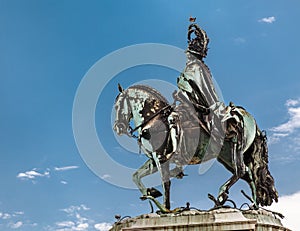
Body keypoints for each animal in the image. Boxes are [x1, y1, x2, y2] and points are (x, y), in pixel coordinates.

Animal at [113, 84, 278, 212]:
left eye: (117, 106)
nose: (117, 127)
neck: (155, 119)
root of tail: (250, 119)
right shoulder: (155, 159)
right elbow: (135, 176)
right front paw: (151, 193)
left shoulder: (160, 157)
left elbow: (165, 183)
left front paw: (165, 209)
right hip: (226, 157)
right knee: (249, 174)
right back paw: (253, 205)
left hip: (235, 150)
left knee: (242, 171)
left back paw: (222, 195)